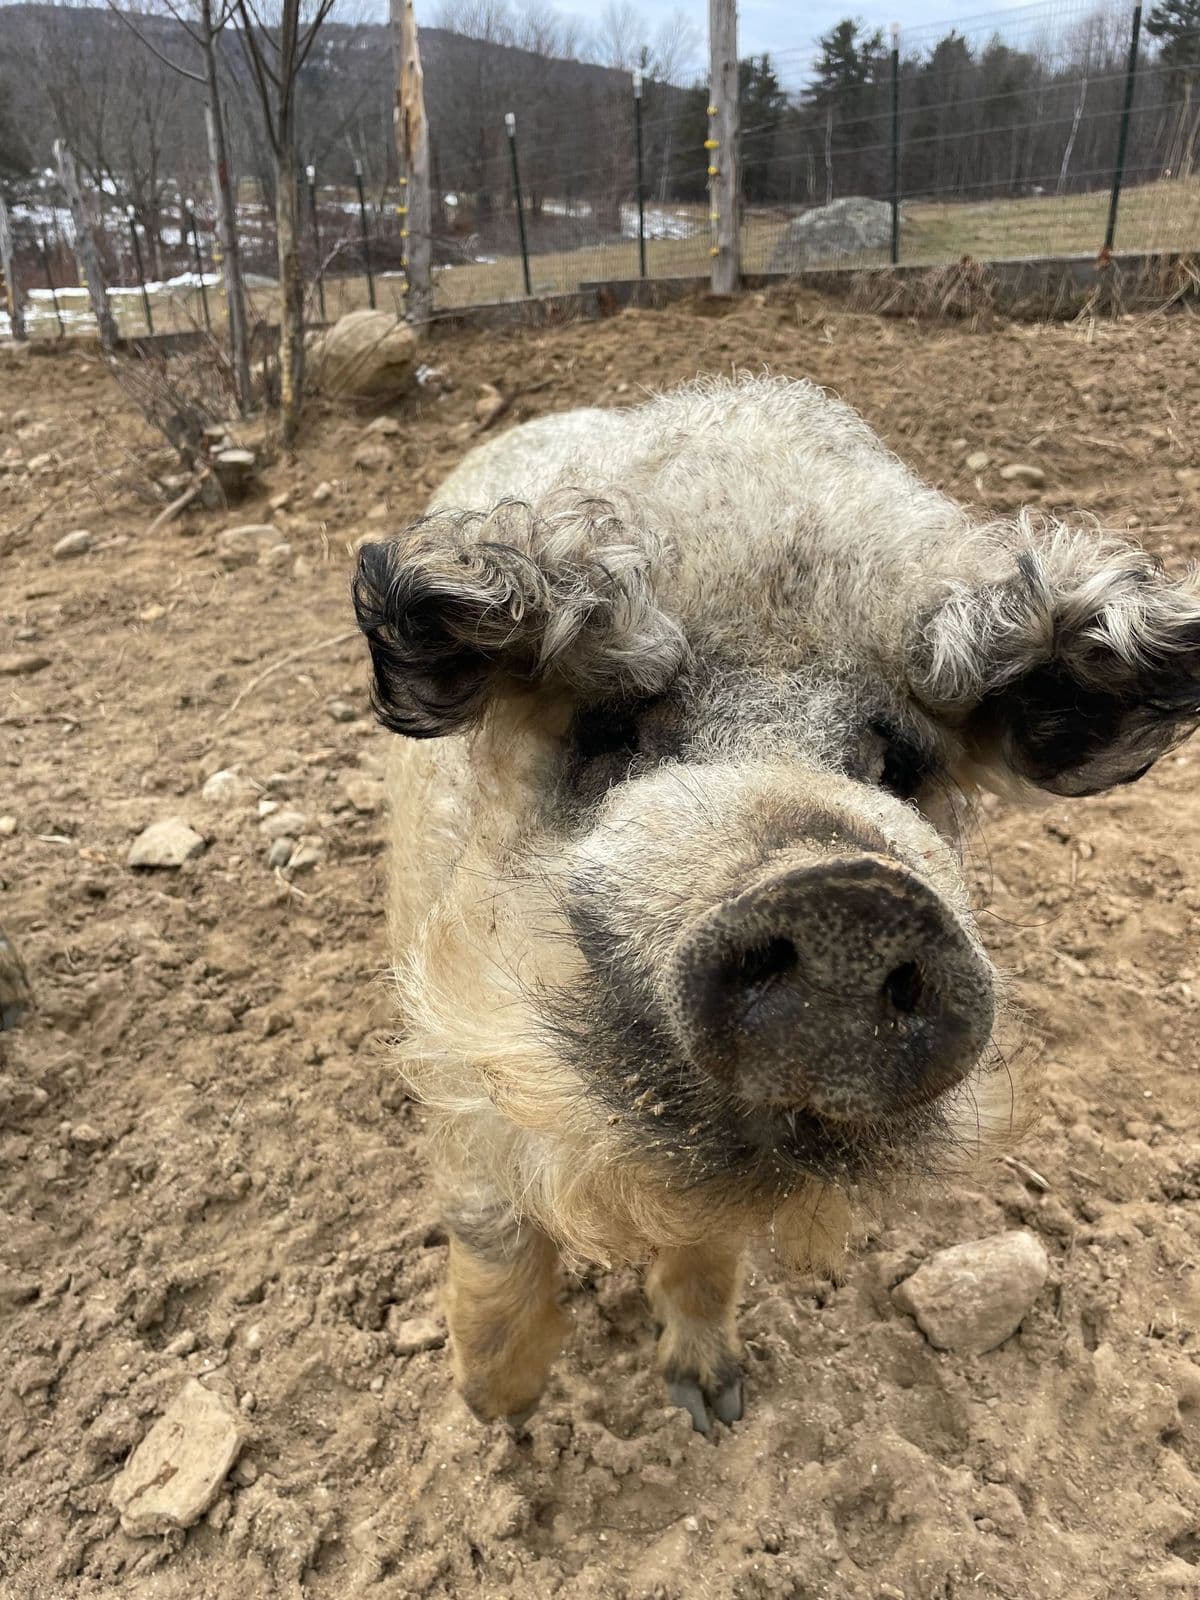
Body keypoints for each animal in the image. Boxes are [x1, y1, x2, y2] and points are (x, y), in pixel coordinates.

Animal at [353, 375, 1200, 1431]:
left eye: (897, 763)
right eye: (616, 729)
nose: (849, 897)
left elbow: (710, 1255)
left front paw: (715, 1408)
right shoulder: (447, 1053)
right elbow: (494, 1233)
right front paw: (496, 1412)